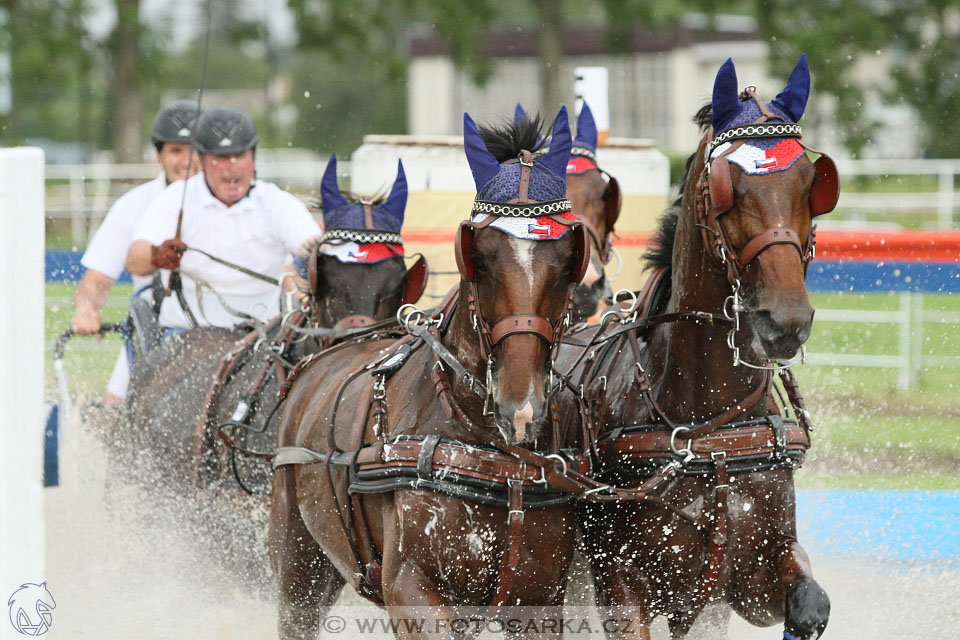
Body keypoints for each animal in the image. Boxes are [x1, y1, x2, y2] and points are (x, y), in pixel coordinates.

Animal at [270, 107, 592, 636]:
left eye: (569, 260)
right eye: (479, 255)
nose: (520, 407)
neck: (488, 449)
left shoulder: (539, 600)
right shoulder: (410, 588)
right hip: (297, 566)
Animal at [560, 56, 836, 640]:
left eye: (811, 183)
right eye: (726, 185)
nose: (786, 319)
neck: (708, 436)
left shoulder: (745, 579)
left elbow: (809, 603)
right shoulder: (620, 582)